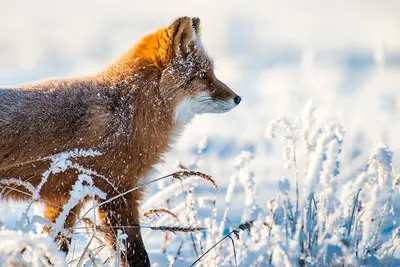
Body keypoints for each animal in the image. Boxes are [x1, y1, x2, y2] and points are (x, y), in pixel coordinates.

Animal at [0, 17, 241, 267]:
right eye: (203, 75)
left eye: (212, 73)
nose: (238, 98)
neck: (127, 114)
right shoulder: (116, 194)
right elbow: (137, 255)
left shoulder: (67, 200)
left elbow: (54, 248)